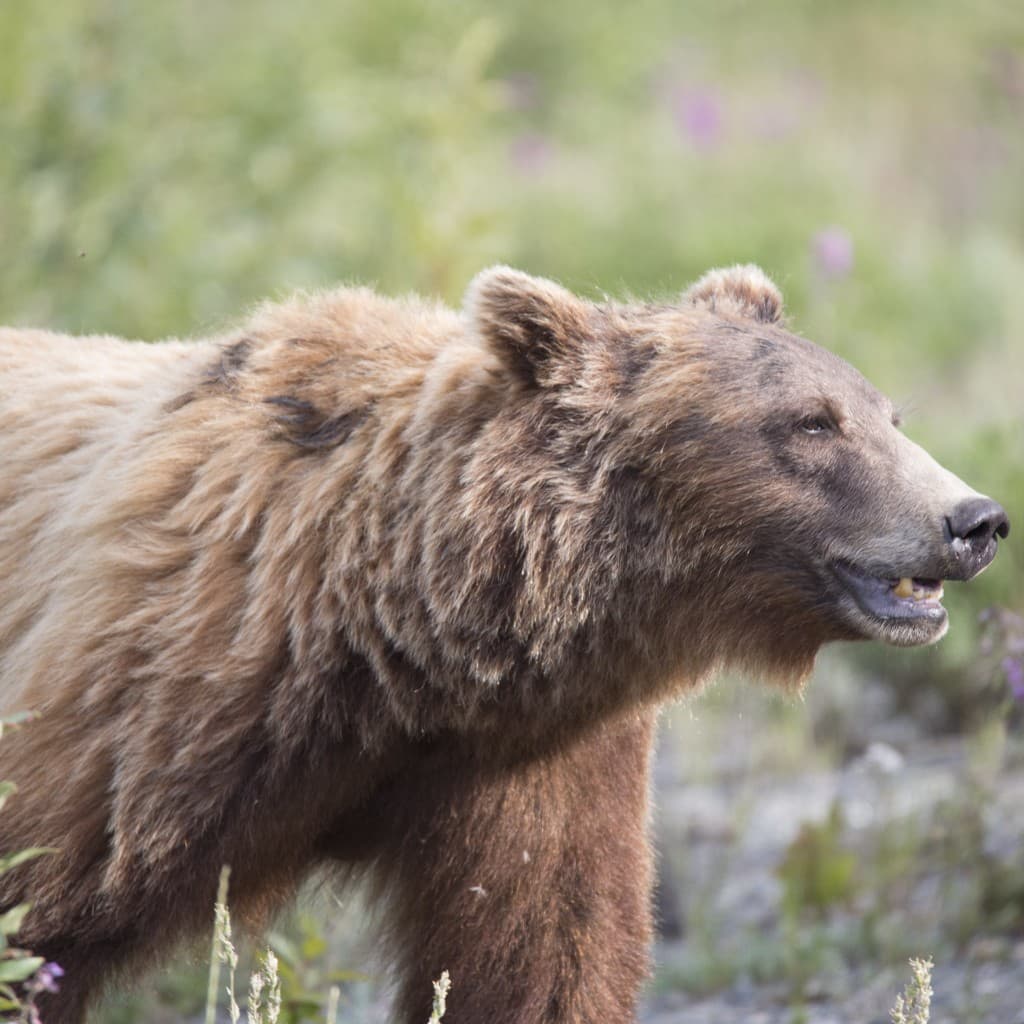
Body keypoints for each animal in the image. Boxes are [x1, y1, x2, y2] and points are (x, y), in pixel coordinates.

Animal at [0, 265, 1009, 1023]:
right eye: (811, 422)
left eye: (887, 414)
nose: (975, 519)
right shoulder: (144, 704)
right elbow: (35, 916)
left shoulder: (535, 759)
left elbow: (542, 951)